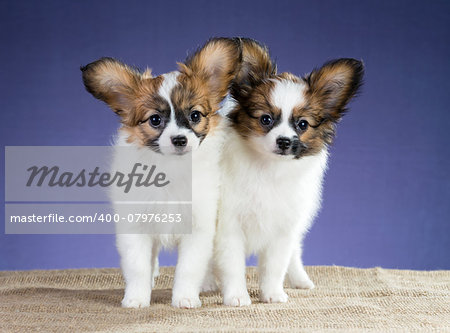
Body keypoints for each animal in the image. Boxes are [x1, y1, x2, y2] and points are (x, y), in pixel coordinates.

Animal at [82, 37, 241, 308]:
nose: (179, 139)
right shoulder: (135, 226)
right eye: (155, 120)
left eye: (195, 115)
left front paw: (185, 297)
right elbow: (137, 267)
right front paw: (136, 298)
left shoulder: (199, 227)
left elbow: (189, 268)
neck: (171, 169)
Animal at [216, 37, 364, 304]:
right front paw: (237, 297)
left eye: (302, 124)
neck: (269, 169)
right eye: (265, 119)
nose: (284, 141)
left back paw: (300, 280)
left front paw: (273, 294)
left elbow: (275, 265)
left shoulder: (283, 228)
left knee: (294, 253)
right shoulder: (229, 225)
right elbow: (232, 265)